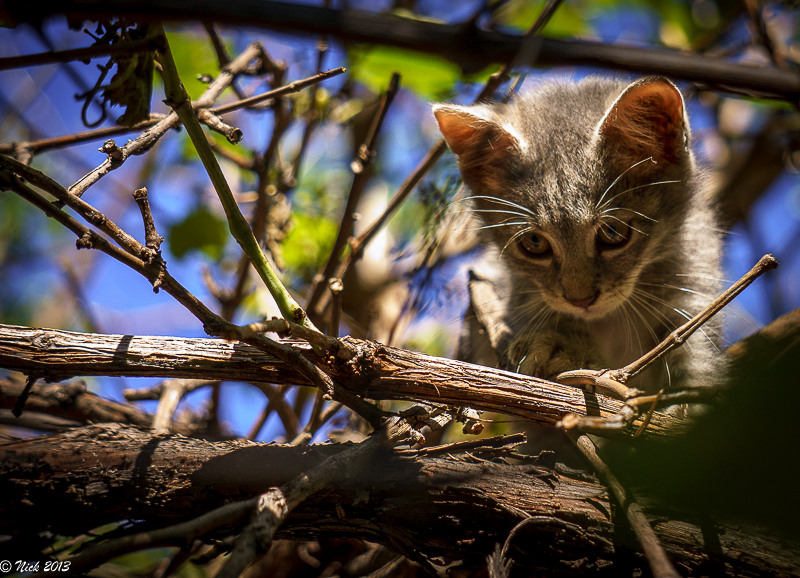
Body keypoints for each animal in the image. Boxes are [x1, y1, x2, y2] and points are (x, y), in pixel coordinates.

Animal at [433, 76, 723, 395]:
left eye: (612, 232)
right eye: (534, 243)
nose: (581, 300)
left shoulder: (692, 297)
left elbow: (696, 374)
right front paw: (564, 347)